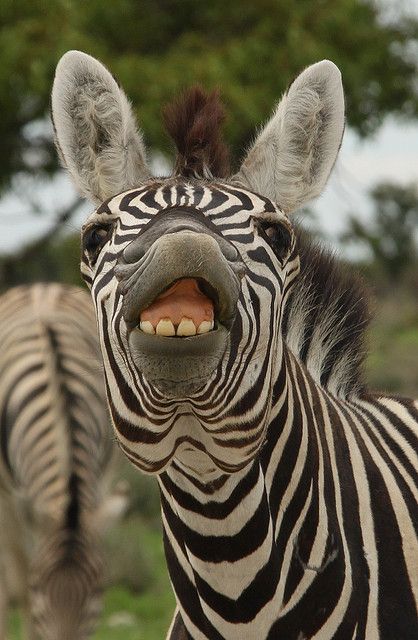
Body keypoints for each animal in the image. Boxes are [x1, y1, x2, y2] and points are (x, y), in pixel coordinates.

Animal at [0, 284, 124, 640]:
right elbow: (17, 586)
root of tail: (42, 288)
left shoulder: (100, 482)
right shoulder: (8, 504)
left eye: (97, 592)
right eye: (40, 589)